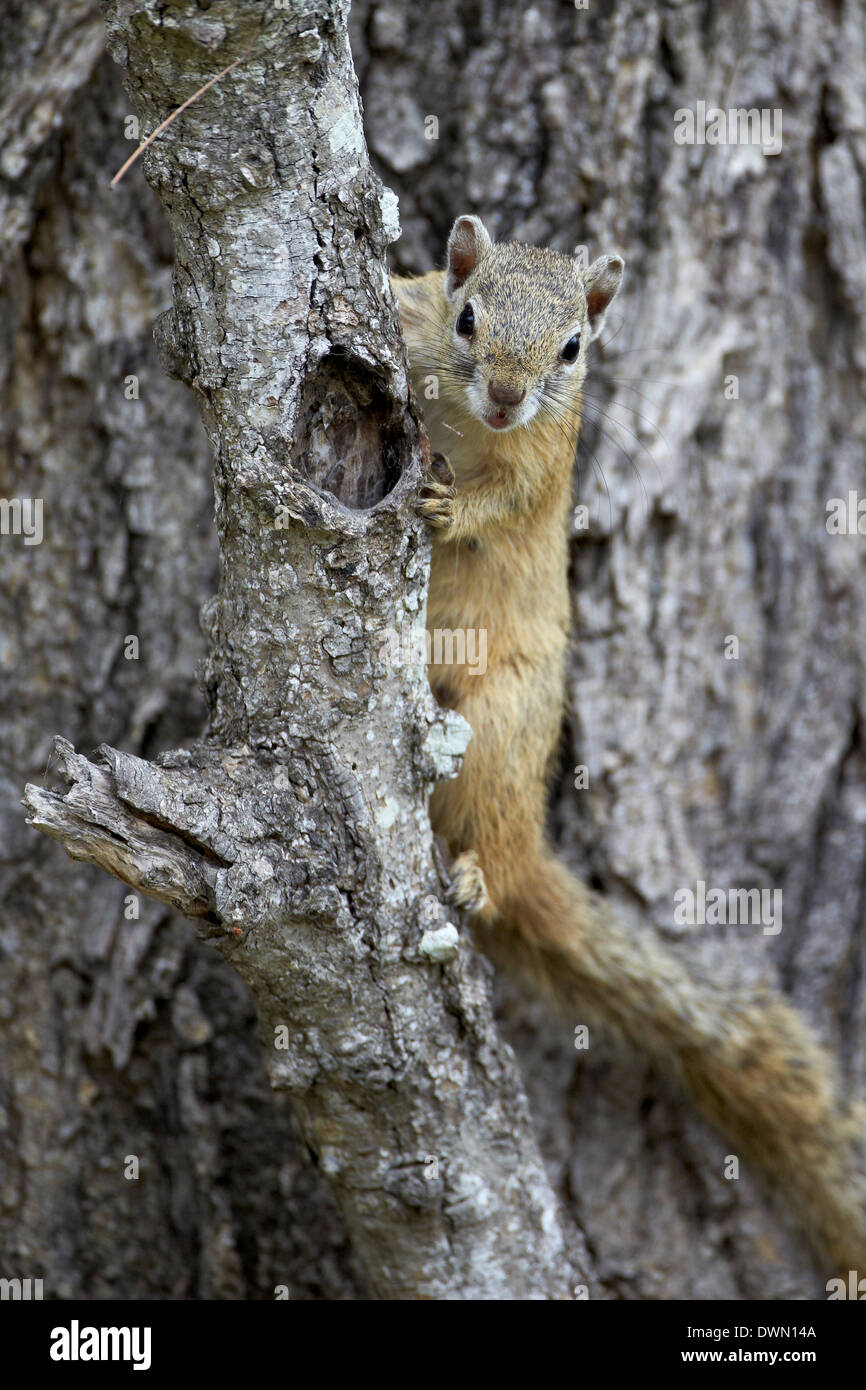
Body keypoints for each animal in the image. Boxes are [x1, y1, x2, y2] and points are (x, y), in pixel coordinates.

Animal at [391, 214, 866, 1278]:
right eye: (466, 314)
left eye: (574, 348)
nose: (507, 396)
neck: (471, 422)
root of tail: (531, 845)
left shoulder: (544, 461)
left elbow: (505, 506)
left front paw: (451, 509)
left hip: (504, 730)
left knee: (494, 845)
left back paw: (478, 874)